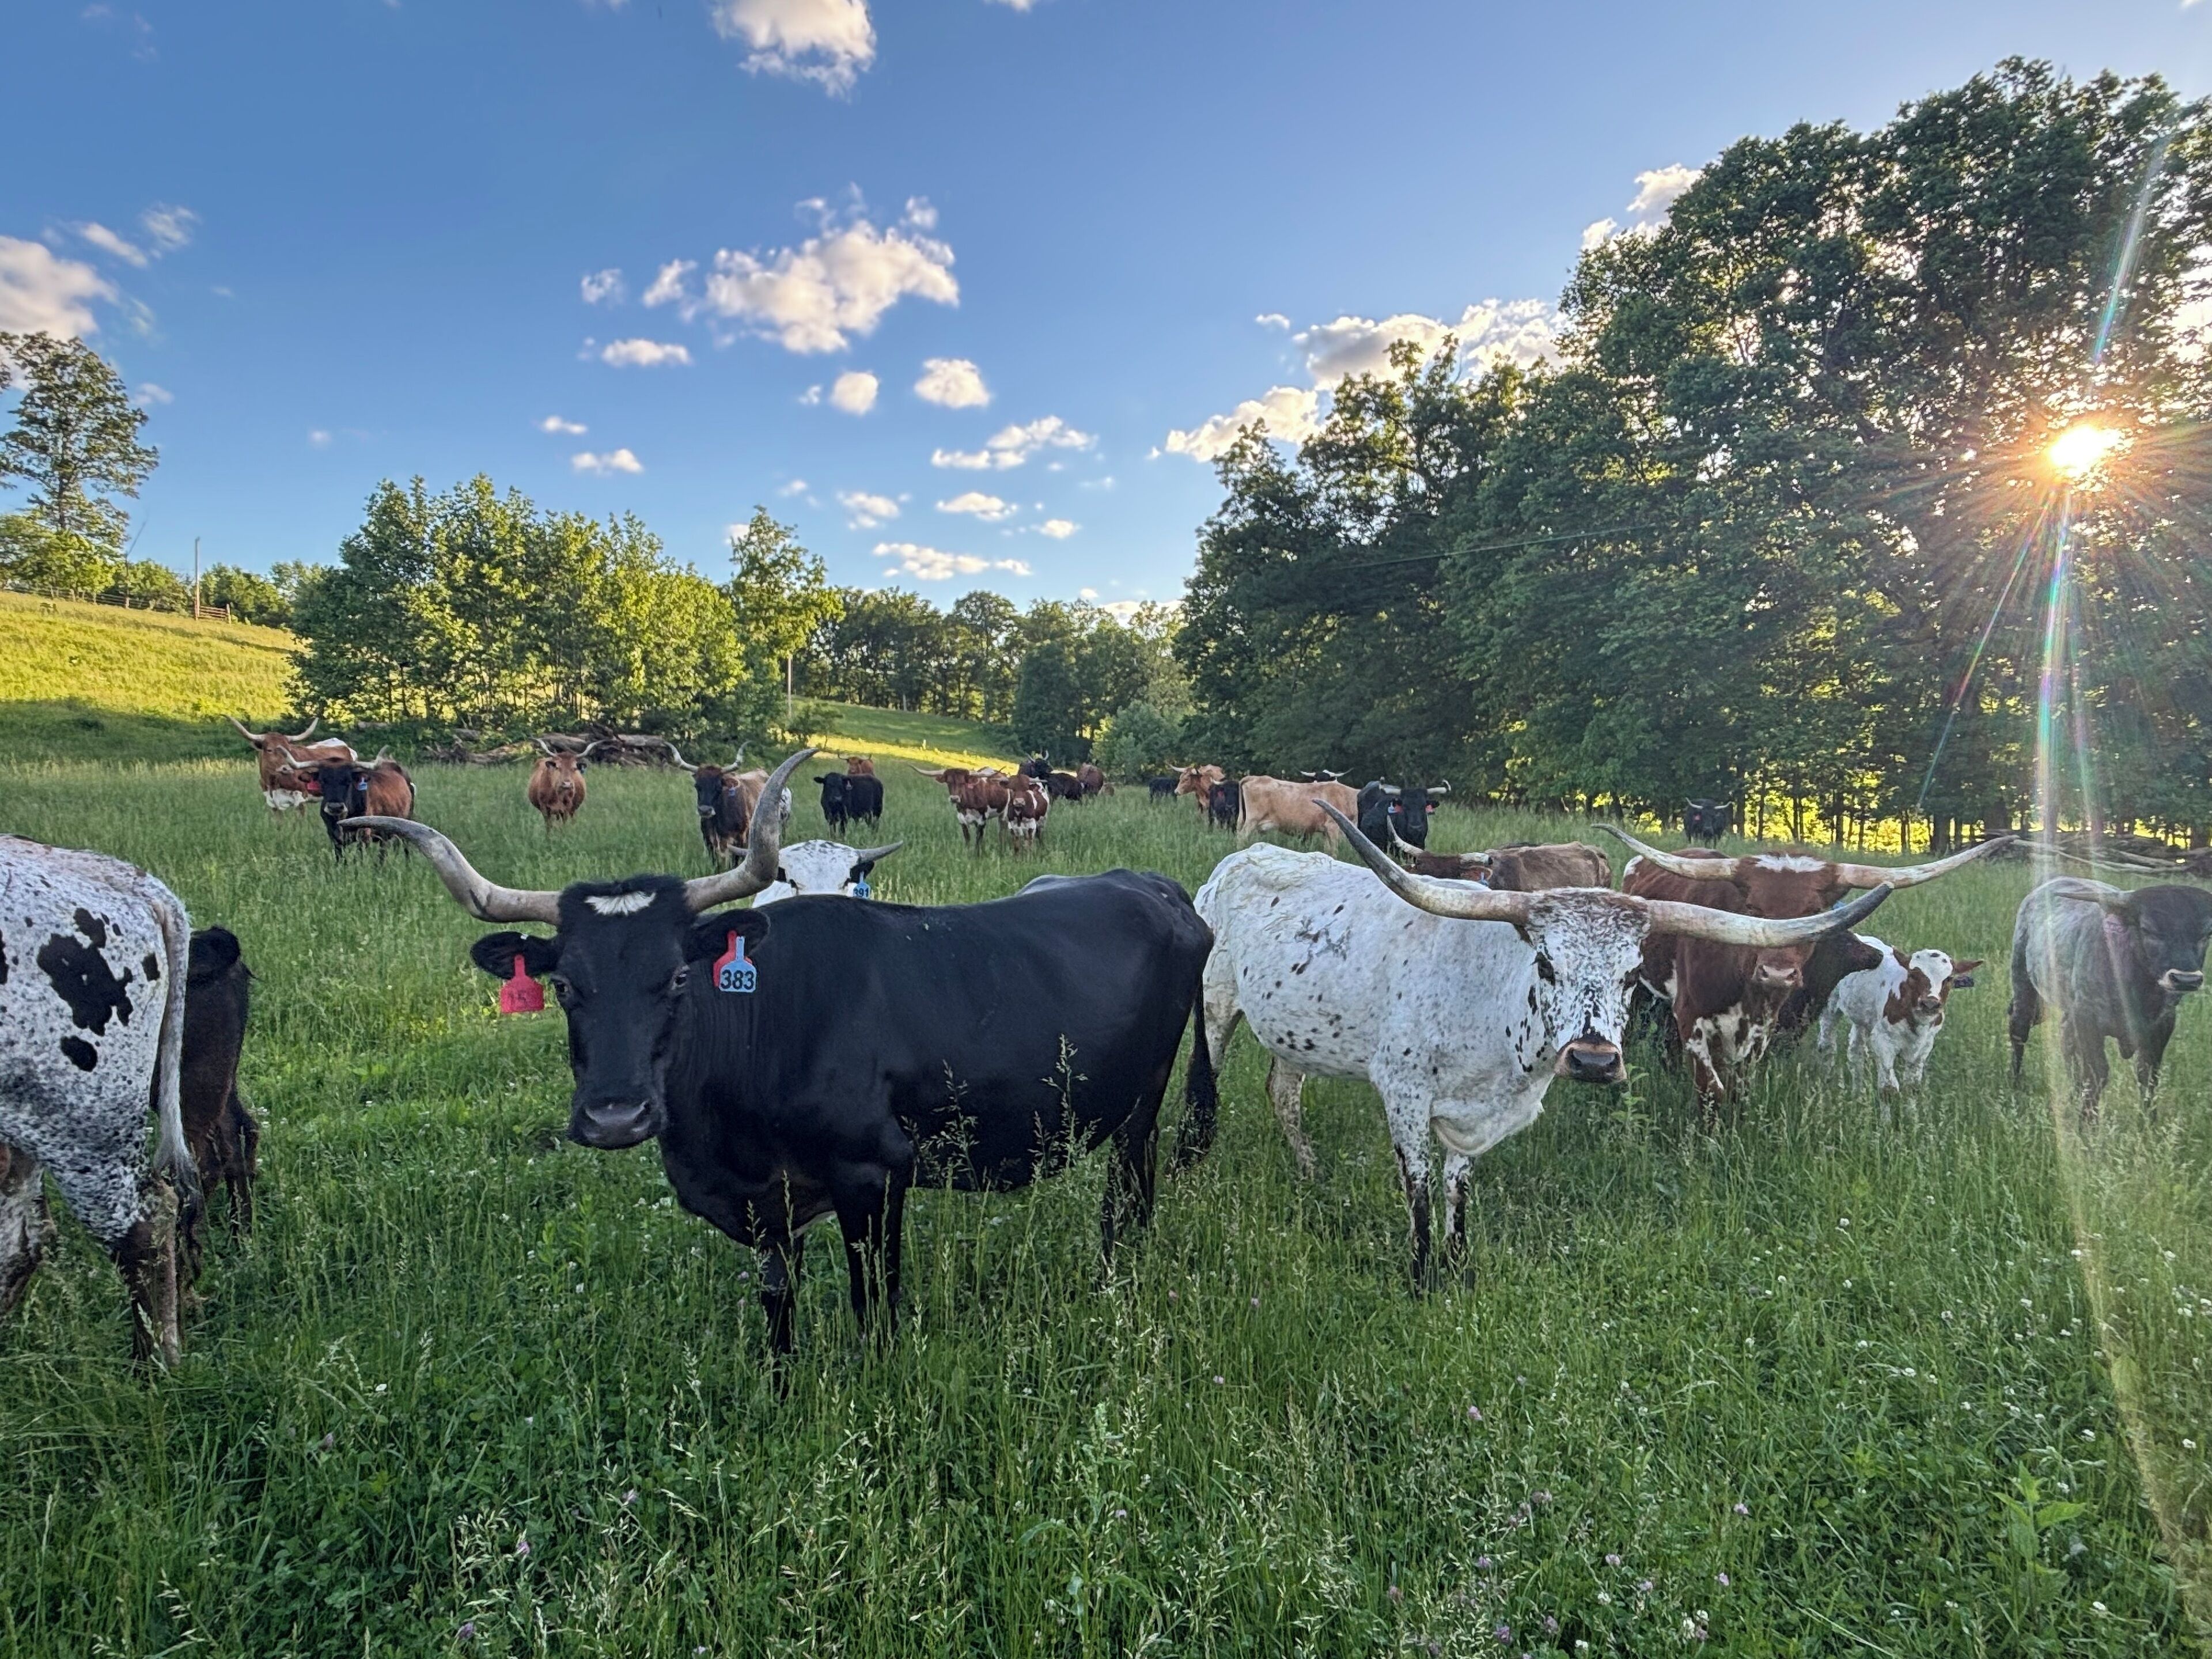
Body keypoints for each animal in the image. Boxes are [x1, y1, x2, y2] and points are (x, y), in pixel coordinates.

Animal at [228, 716, 354, 812]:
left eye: (289, 750)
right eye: (269, 750)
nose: (287, 768)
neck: (274, 782)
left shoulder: (300, 799)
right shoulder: (272, 803)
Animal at [527, 740, 600, 830]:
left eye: (575, 768)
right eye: (558, 767)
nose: (567, 784)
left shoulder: (567, 808)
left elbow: (564, 826)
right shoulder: (545, 808)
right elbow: (549, 827)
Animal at [1195, 805, 1887, 1287]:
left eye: (1631, 975)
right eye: (1547, 964)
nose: (1594, 1060)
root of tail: (1241, 858)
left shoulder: (1476, 1117)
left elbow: (1459, 1190)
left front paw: (1458, 1268)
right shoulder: (1404, 1095)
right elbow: (1420, 1189)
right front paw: (1420, 1273)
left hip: (1293, 1035)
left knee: (1283, 1092)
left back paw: (1309, 1171)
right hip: (1215, 1005)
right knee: (1208, 1084)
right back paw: (1191, 1163)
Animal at [1818, 937, 1980, 1096]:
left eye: (1949, 979)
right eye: (1913, 975)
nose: (1930, 1004)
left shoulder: (1926, 1045)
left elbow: (1912, 1087)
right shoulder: (1882, 1040)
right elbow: (1888, 1089)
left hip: (1861, 1017)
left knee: (1856, 1052)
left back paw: (1858, 1094)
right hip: (1829, 1006)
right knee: (1827, 1046)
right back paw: (1826, 1084)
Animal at [2009, 878, 2212, 1119]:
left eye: (2206, 934)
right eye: (2149, 930)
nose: (2186, 979)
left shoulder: (2163, 1024)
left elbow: (2148, 1076)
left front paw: (2149, 1123)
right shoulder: (2087, 1019)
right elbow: (2096, 1074)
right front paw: (2088, 1123)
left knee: (2067, 1040)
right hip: (2023, 985)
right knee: (2019, 1030)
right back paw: (2014, 1083)